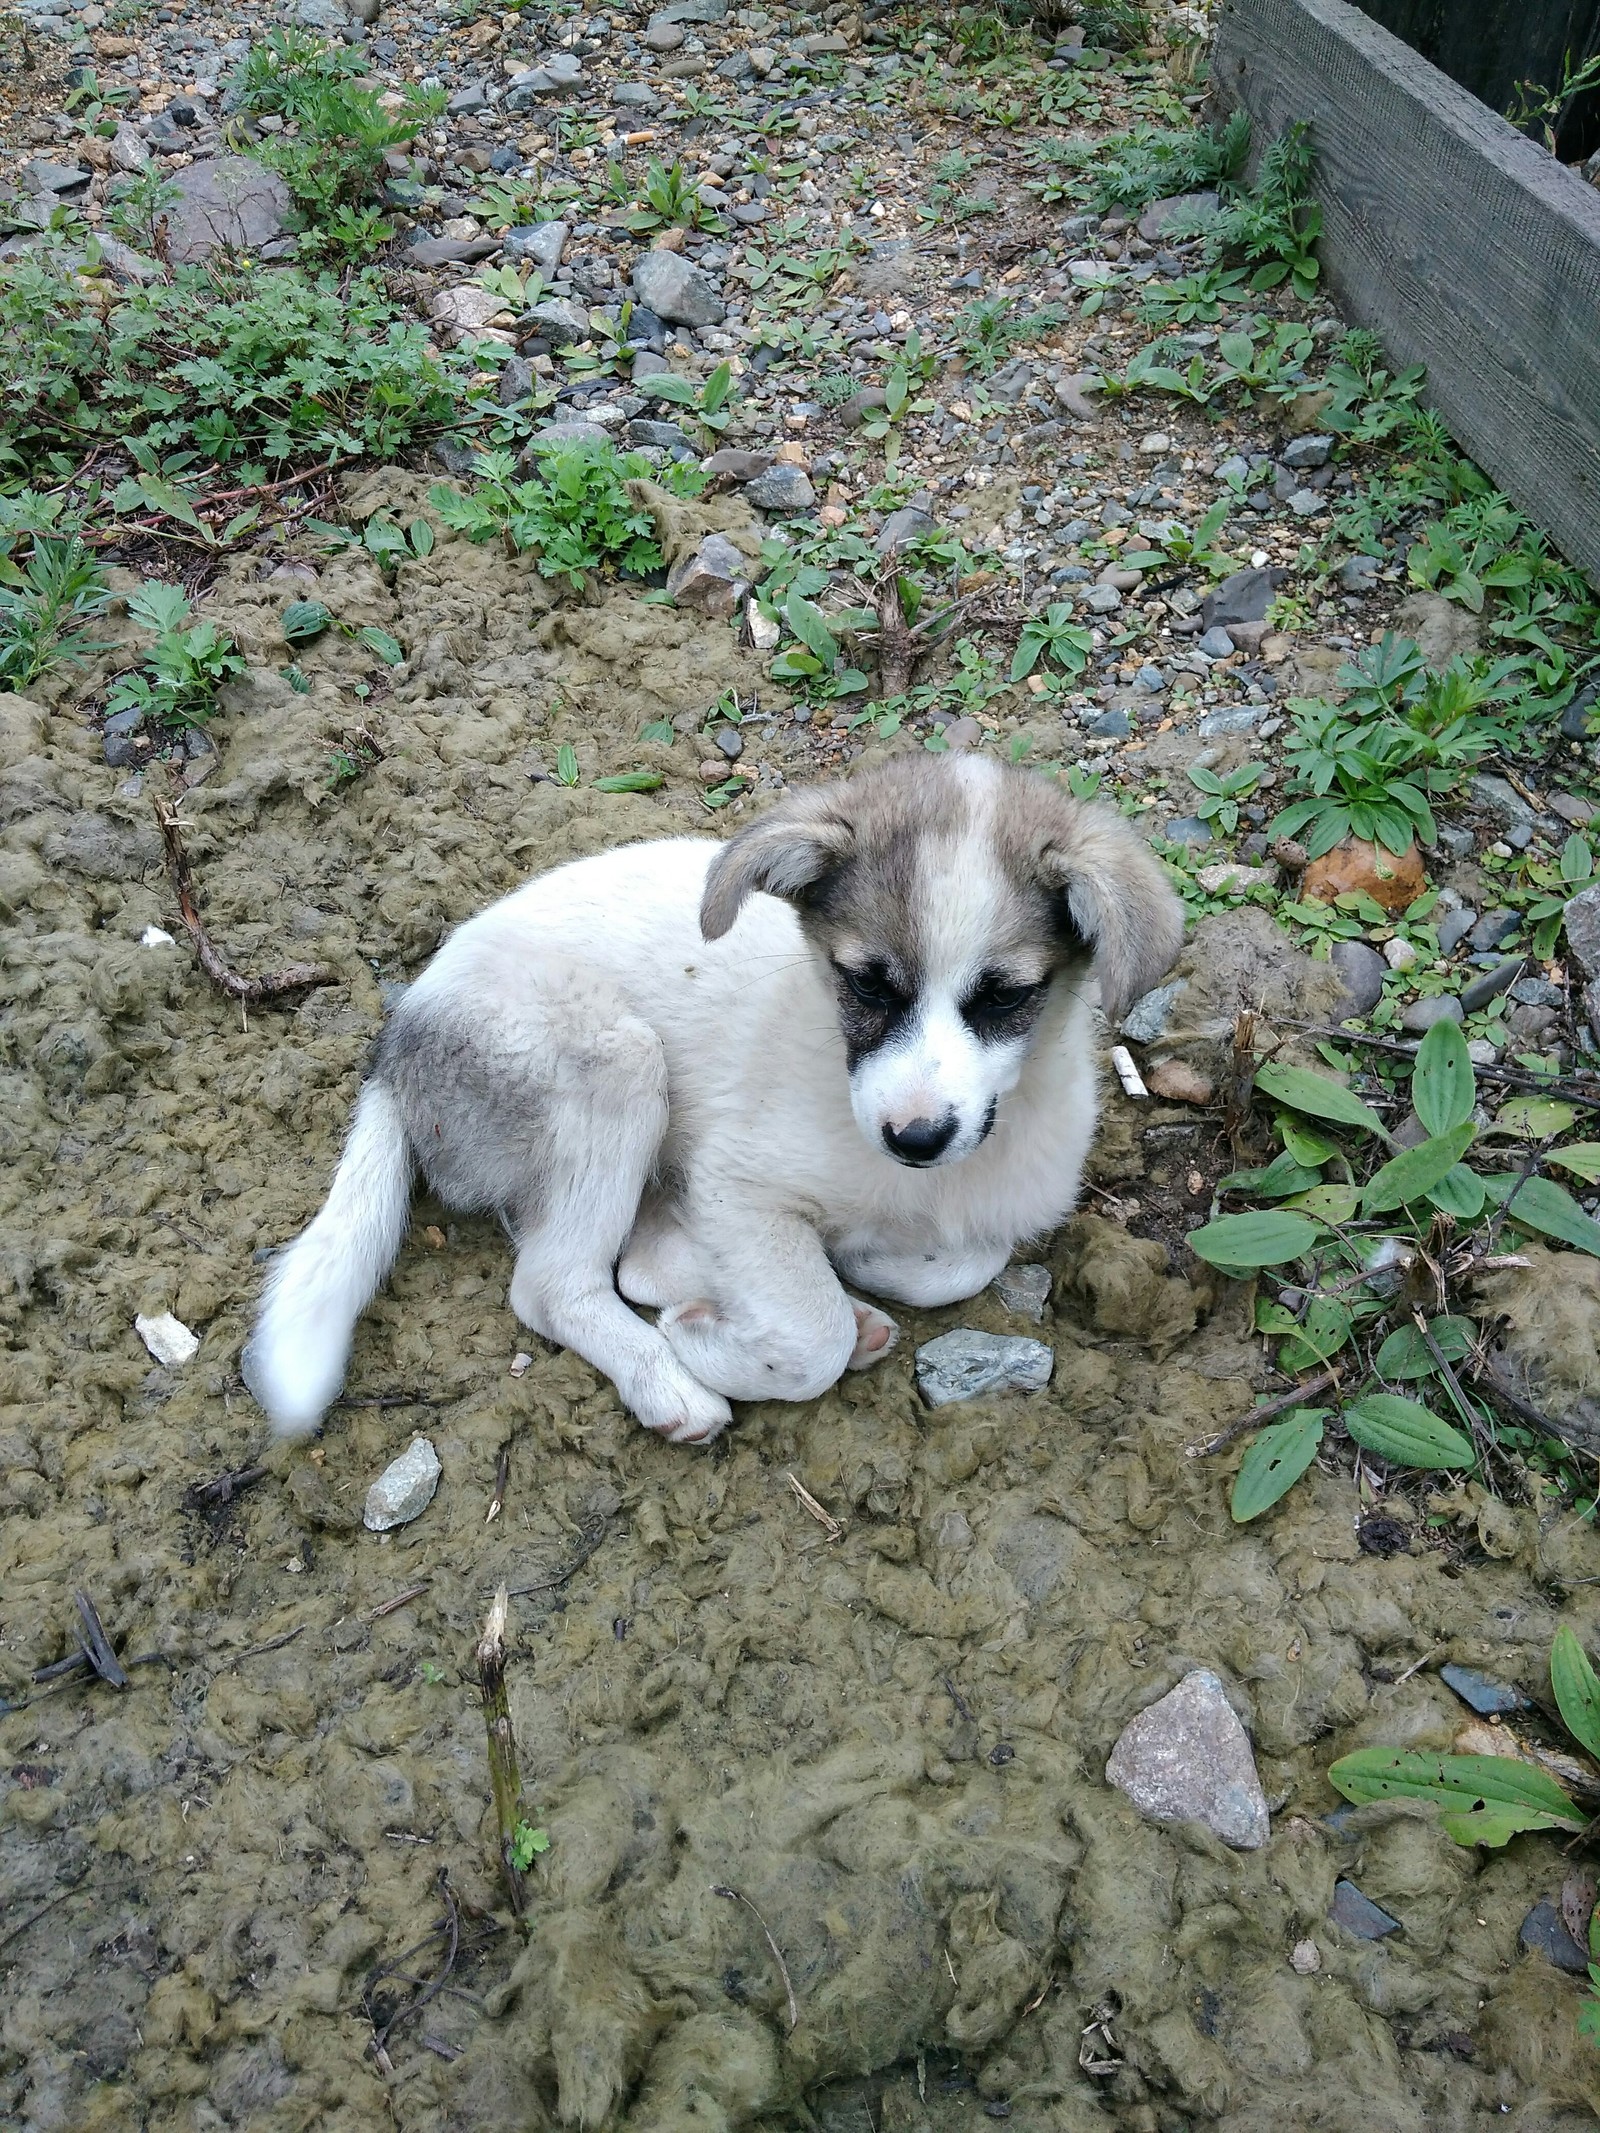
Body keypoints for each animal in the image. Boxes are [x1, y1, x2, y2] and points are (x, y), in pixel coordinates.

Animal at [244, 755, 1186, 1450]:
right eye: (865, 983)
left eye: (1005, 997)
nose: (916, 1137)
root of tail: (395, 1047)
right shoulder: (739, 1182)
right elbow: (809, 1339)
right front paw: (719, 1344)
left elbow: (962, 1264)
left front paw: (855, 1265)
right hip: (617, 1064)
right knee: (555, 1283)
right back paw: (667, 1376)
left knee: (632, 1261)